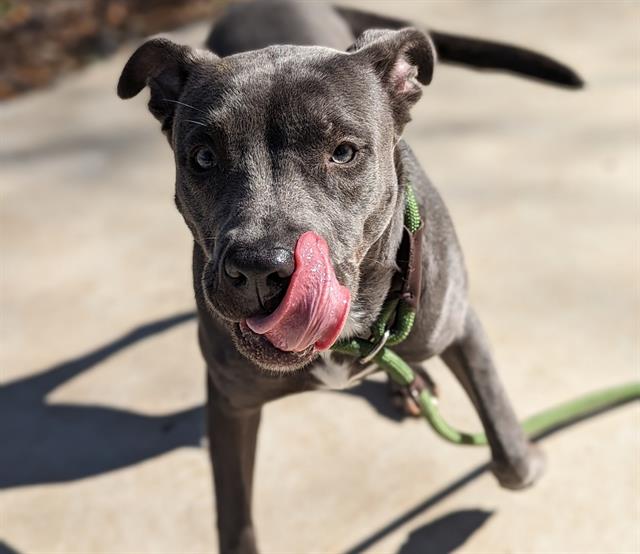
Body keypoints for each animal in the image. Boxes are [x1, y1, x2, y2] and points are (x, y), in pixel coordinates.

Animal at [117, 2, 584, 548]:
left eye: (343, 152)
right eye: (204, 157)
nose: (258, 268)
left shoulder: (459, 325)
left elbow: (510, 453)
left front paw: (528, 460)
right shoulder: (231, 402)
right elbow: (235, 516)